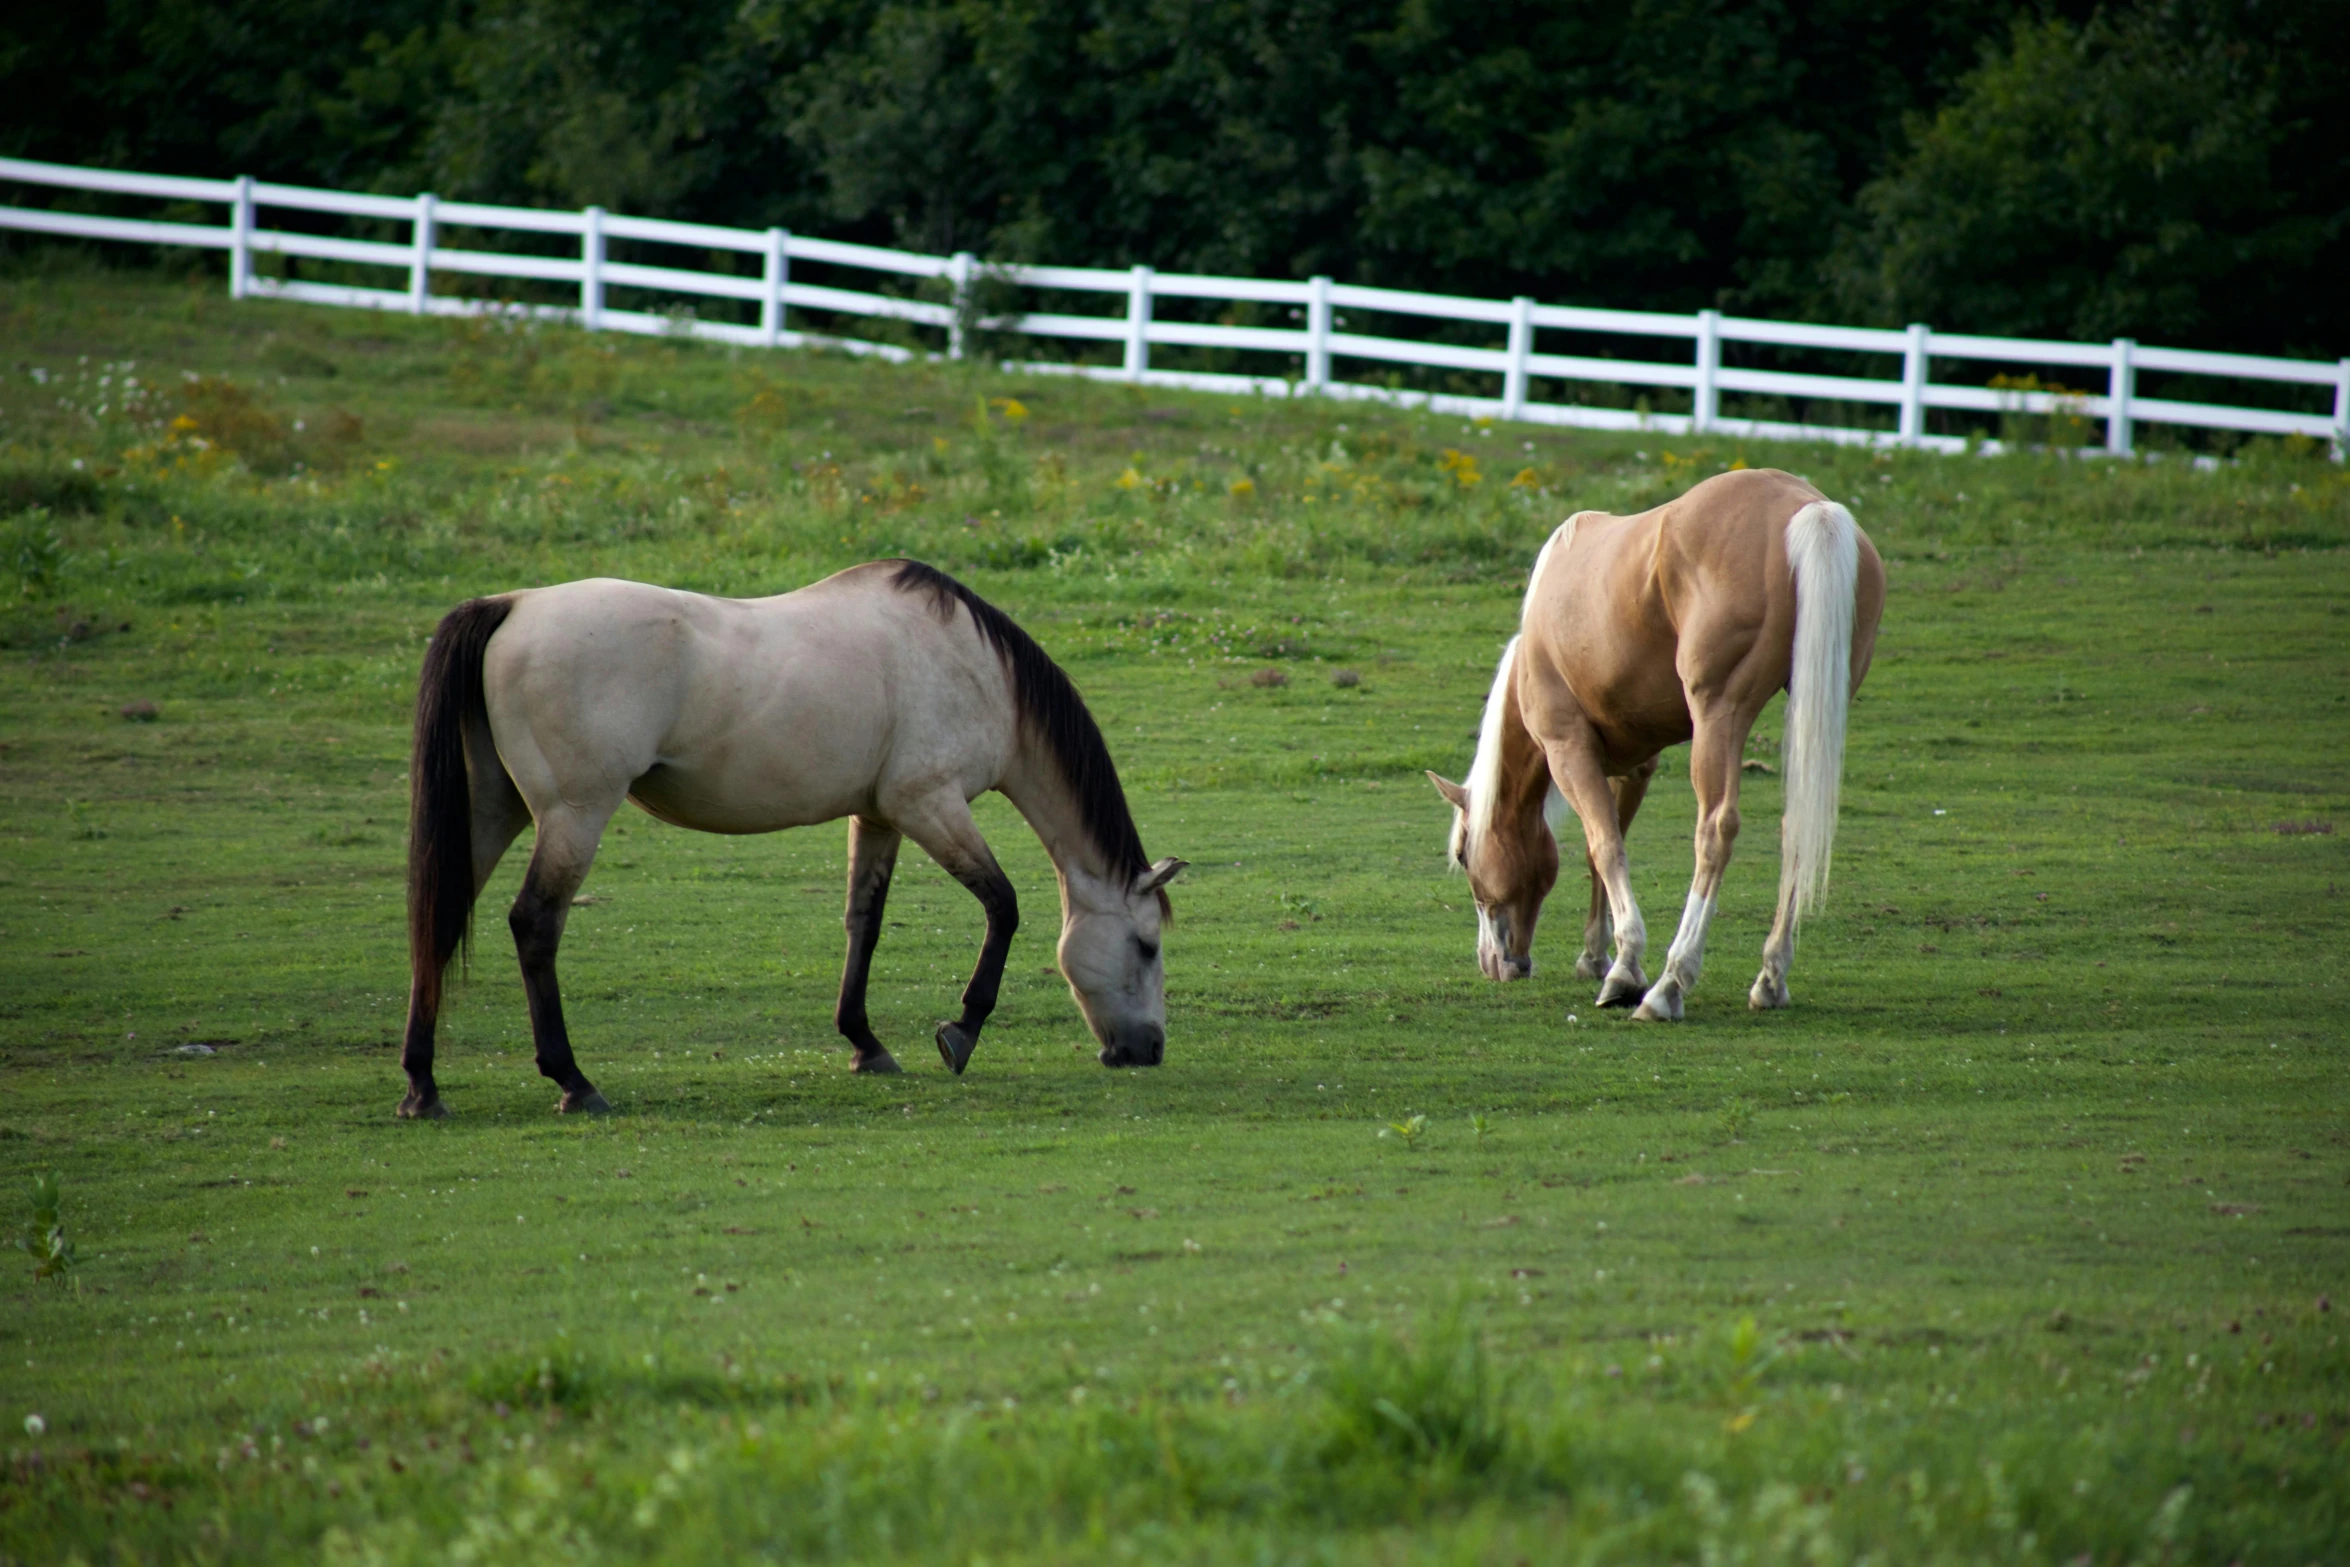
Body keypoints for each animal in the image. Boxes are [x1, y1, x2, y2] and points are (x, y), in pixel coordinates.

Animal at [397, 556, 1193, 1122]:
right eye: (1147, 946)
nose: (1149, 1050)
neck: (975, 667)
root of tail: (512, 605)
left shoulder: (878, 816)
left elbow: (864, 922)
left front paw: (865, 1044)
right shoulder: (929, 804)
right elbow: (1003, 905)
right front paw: (961, 1030)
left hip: (493, 810)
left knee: (439, 918)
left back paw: (422, 1087)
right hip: (573, 815)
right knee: (534, 924)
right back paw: (573, 1080)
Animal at [1419, 465, 1879, 1024]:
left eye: (1464, 856)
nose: (1494, 962)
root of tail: (1807, 507)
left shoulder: (1568, 750)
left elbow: (1605, 846)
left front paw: (1624, 971)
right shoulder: (1633, 764)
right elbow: (1603, 847)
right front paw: (1596, 956)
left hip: (1719, 716)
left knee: (1715, 831)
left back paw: (1669, 985)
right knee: (1798, 825)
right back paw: (1770, 978)